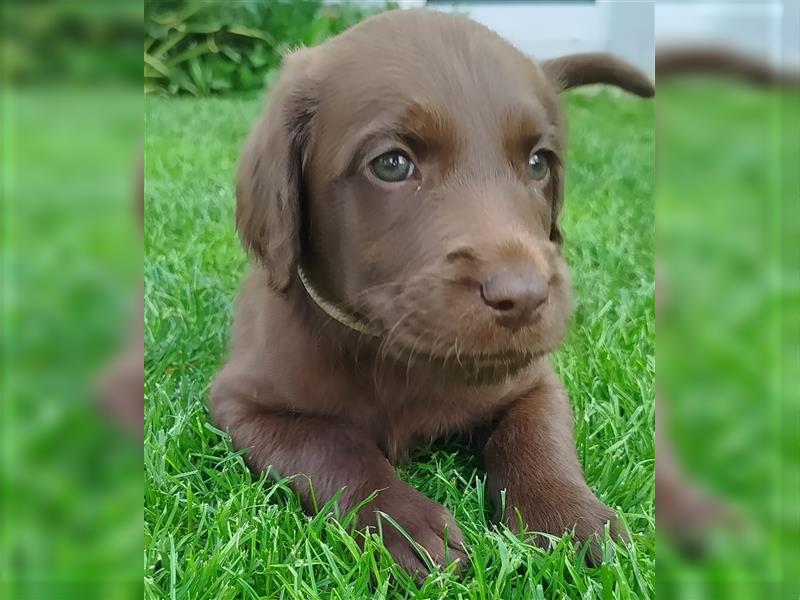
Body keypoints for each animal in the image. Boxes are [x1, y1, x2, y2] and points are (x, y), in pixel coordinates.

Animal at [211, 8, 648, 572]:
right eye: (391, 164)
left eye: (538, 163)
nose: (525, 298)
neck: (395, 354)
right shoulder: (241, 404)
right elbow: (330, 444)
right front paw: (403, 524)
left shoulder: (533, 381)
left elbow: (538, 438)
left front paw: (568, 515)